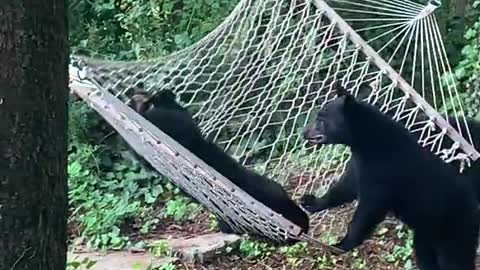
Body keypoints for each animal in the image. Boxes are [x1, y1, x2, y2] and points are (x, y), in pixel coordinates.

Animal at [302, 86, 478, 270]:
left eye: (321, 119)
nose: (303, 133)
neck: (366, 143)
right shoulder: (359, 163)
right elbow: (346, 186)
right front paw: (311, 202)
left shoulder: (384, 171)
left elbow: (369, 208)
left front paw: (342, 244)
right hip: (425, 234)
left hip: (455, 229)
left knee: (456, 259)